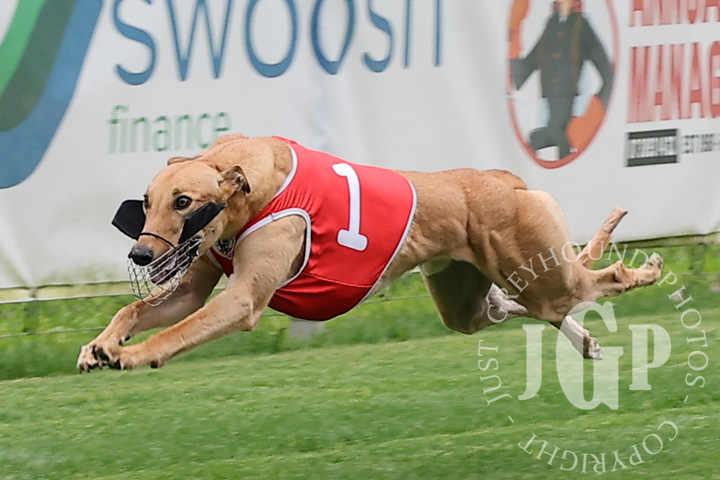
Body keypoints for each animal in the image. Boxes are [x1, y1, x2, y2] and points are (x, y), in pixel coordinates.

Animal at [77, 134, 663, 371]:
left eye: (184, 202)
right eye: (146, 202)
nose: (141, 255)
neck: (252, 182)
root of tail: (507, 179)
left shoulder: (241, 300)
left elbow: (176, 332)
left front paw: (130, 355)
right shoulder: (195, 283)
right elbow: (137, 308)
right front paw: (99, 347)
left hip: (537, 269)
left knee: (593, 282)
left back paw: (647, 272)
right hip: (469, 299)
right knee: (518, 306)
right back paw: (586, 342)